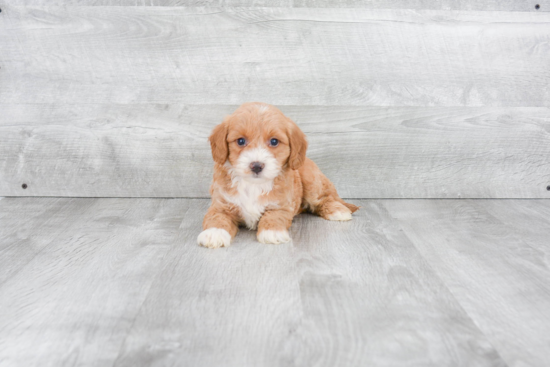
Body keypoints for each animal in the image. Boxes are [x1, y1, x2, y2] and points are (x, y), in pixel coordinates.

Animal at [196, 102, 360, 249]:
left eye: (274, 141)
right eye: (241, 141)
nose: (256, 165)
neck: (253, 184)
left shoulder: (281, 205)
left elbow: (274, 216)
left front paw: (272, 232)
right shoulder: (220, 204)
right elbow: (216, 217)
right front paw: (214, 233)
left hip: (312, 181)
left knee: (324, 199)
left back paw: (338, 211)